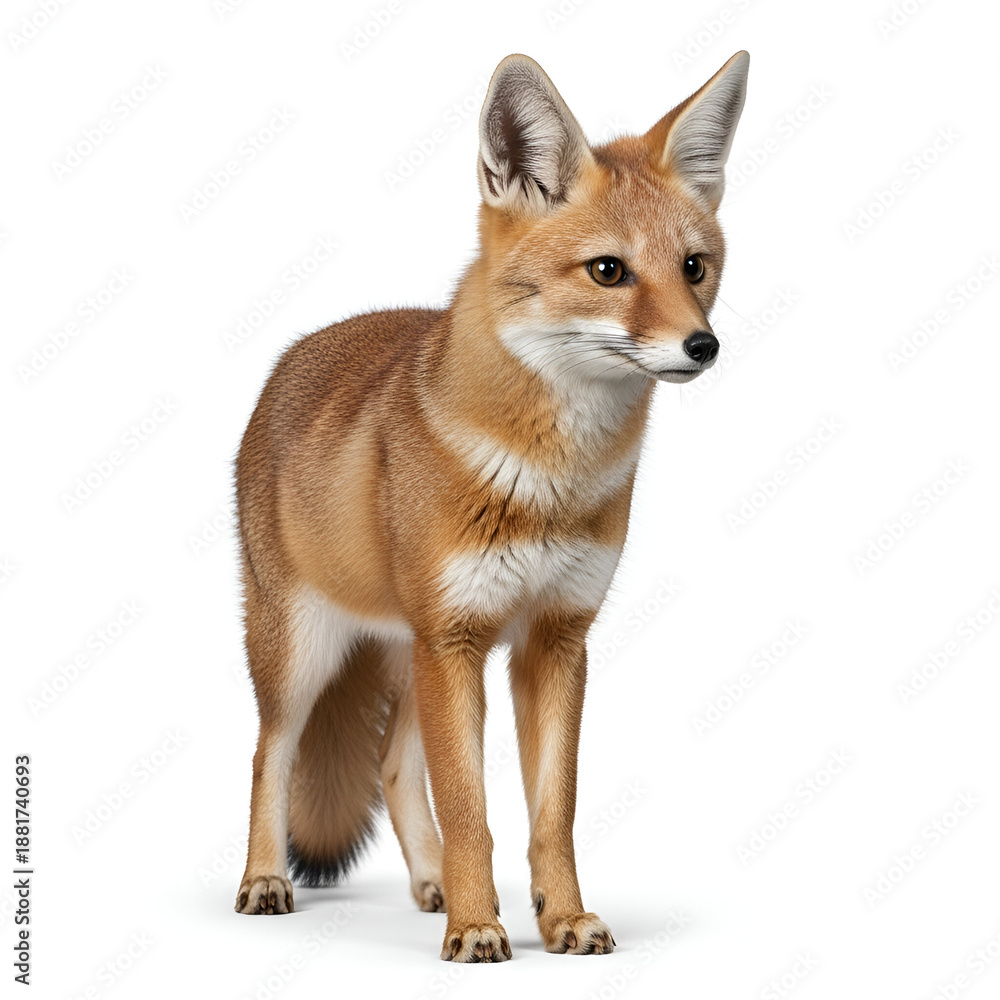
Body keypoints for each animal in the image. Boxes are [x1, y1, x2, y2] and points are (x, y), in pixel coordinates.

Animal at [234, 50, 750, 962]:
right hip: (304, 655)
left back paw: (430, 885)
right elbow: (472, 810)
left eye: (694, 266)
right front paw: (480, 928)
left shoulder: (553, 640)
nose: (704, 346)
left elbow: (551, 814)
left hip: (407, 656)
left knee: (393, 765)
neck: (549, 482)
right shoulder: (458, 639)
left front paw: (561, 916)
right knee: (271, 756)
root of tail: (294, 354)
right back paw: (267, 880)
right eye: (608, 270)